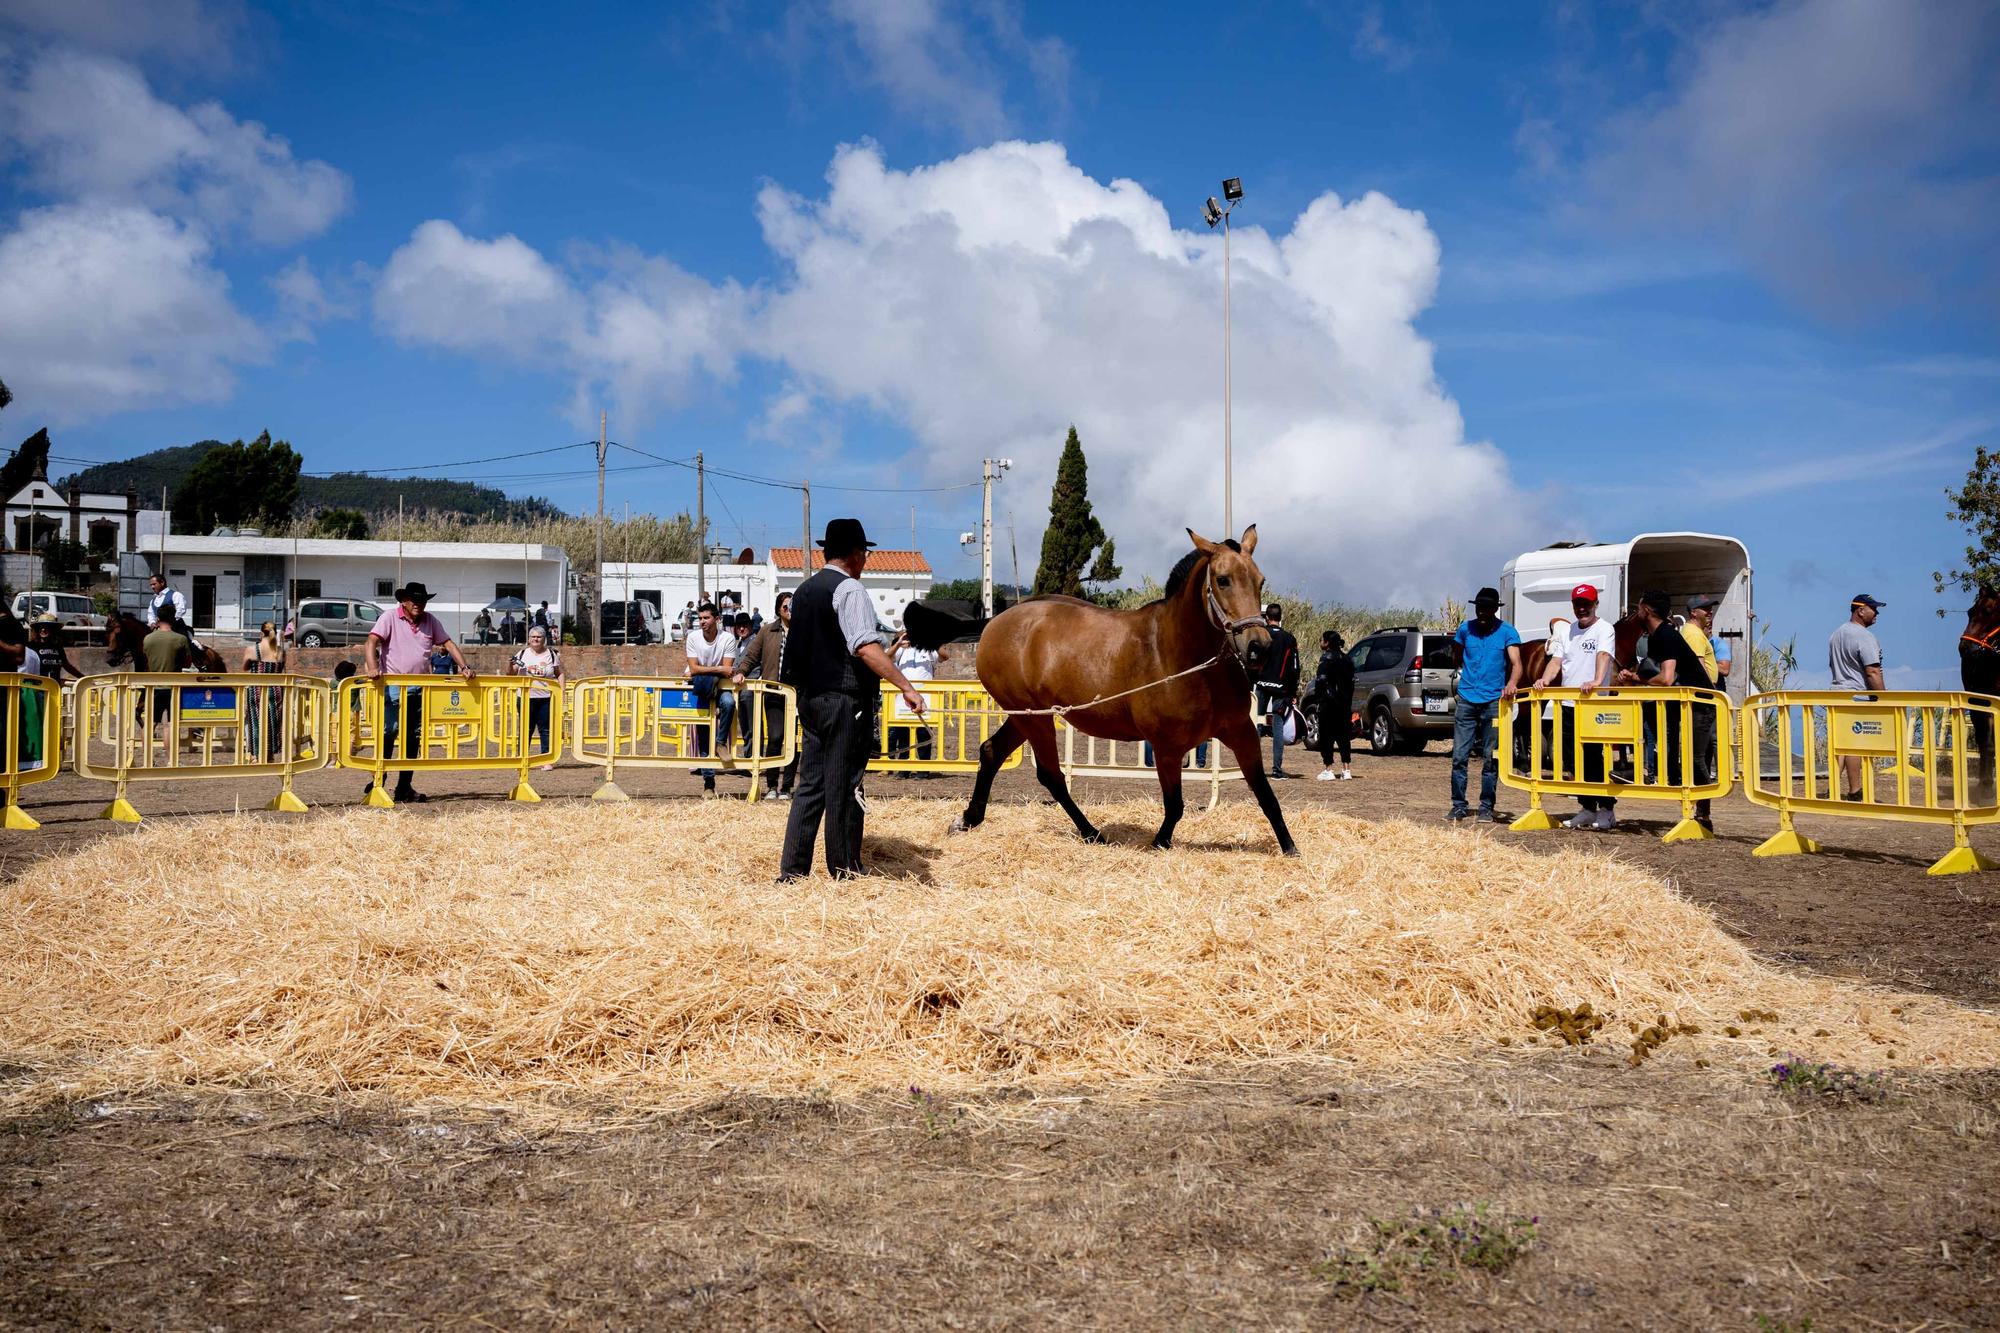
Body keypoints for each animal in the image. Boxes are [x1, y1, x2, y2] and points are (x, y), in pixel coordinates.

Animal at [936, 528, 1296, 852]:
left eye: (1260, 580)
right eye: (1223, 580)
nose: (1259, 646)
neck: (1185, 659)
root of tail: (996, 622)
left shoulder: (1241, 733)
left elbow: (1266, 796)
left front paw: (1290, 848)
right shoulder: (1167, 747)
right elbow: (1175, 806)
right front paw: (1159, 842)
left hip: (1025, 717)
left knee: (992, 751)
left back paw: (968, 819)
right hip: (1034, 718)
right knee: (1051, 775)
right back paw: (1092, 833)